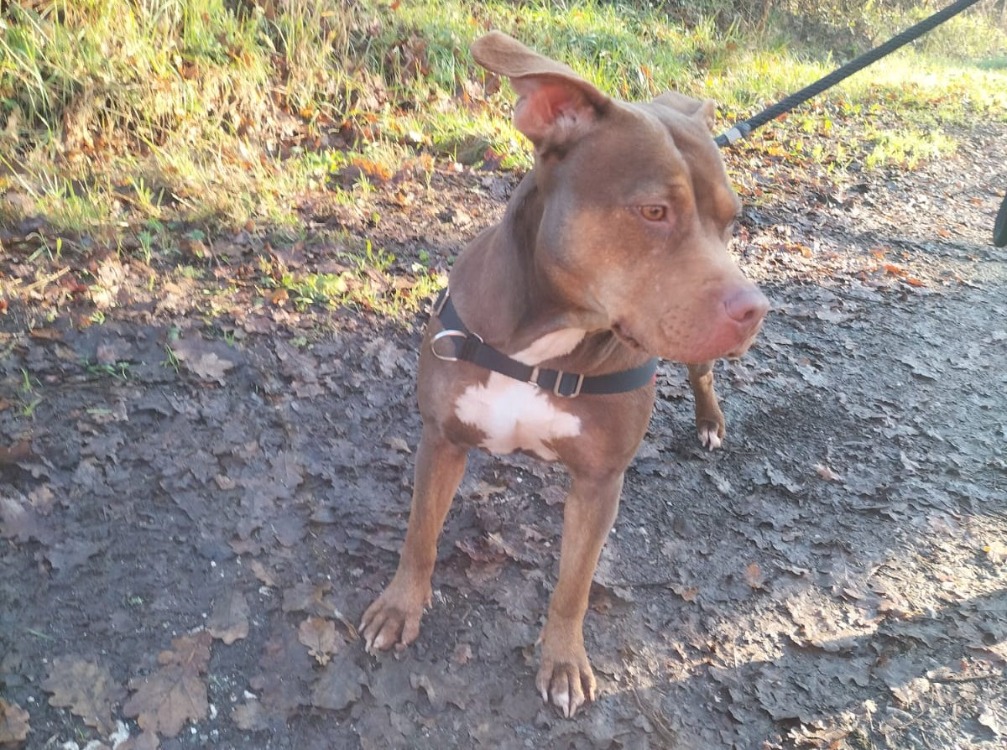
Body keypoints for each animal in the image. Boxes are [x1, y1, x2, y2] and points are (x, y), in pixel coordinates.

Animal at [361, 31, 768, 718]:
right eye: (653, 211)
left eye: (732, 220)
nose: (754, 309)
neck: (546, 343)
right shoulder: (441, 439)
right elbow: (420, 535)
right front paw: (400, 606)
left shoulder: (600, 483)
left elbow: (574, 584)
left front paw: (563, 661)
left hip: (694, 353)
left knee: (703, 375)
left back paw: (710, 422)